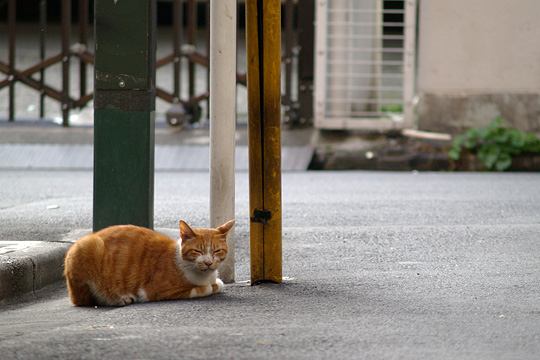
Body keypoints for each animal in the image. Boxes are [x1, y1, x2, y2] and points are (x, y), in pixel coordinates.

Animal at [63, 219, 232, 306]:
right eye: (197, 251)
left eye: (217, 251)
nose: (208, 262)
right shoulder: (156, 290)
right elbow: (205, 288)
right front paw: (212, 285)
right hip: (87, 247)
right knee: (85, 299)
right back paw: (119, 298)